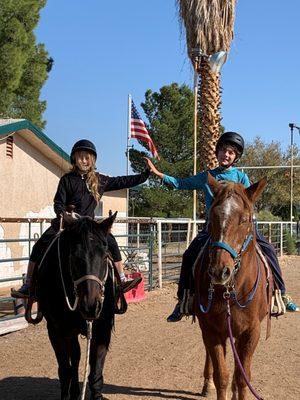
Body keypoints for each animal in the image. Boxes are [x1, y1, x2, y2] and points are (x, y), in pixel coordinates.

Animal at [35, 214, 118, 398]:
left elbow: (95, 372)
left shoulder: (102, 330)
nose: (91, 306)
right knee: (74, 358)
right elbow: (65, 371)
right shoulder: (56, 331)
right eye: (73, 257)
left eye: (105, 256)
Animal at [195, 174, 270, 400]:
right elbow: (222, 376)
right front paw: (214, 382)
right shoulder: (211, 329)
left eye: (244, 219)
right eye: (212, 218)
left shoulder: (251, 332)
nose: (220, 271)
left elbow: (242, 378)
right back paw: (206, 384)